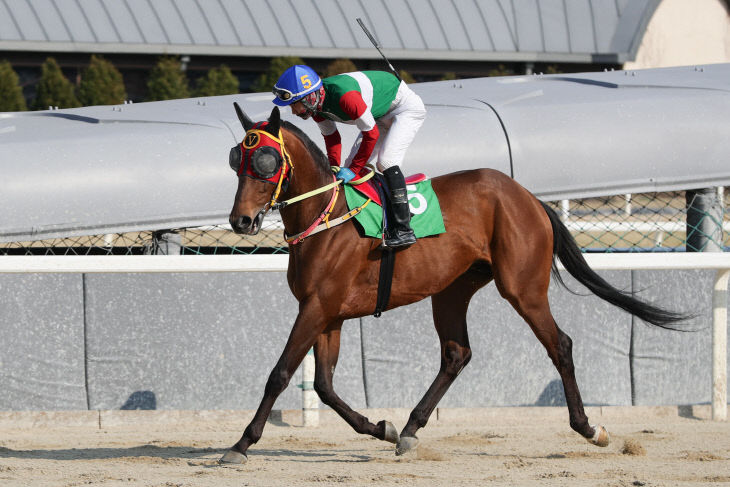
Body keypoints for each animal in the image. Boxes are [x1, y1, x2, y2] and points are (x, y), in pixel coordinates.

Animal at [220, 104, 684, 466]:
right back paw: (410, 428)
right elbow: (324, 386)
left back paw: (589, 428)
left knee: (560, 345)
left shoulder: (317, 306)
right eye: (235, 160)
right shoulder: (328, 313)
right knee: (456, 353)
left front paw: (241, 443)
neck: (326, 216)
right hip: (451, 290)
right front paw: (383, 428)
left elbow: (280, 374)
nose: (240, 221)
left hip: (522, 288)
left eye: (265, 161)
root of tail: (529, 197)